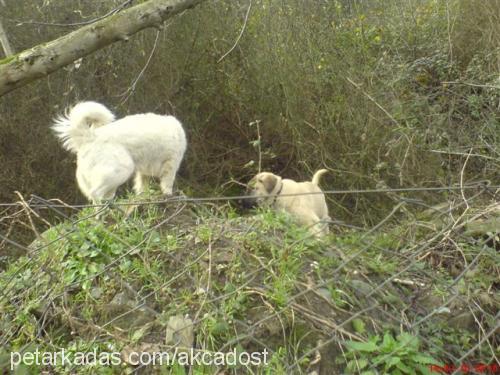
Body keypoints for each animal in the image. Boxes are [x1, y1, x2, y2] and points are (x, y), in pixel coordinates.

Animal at [51, 101, 187, 204]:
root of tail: (90, 137)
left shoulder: (143, 173)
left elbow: (142, 189)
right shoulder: (171, 164)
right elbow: (167, 185)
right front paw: (169, 196)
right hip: (122, 169)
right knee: (95, 193)